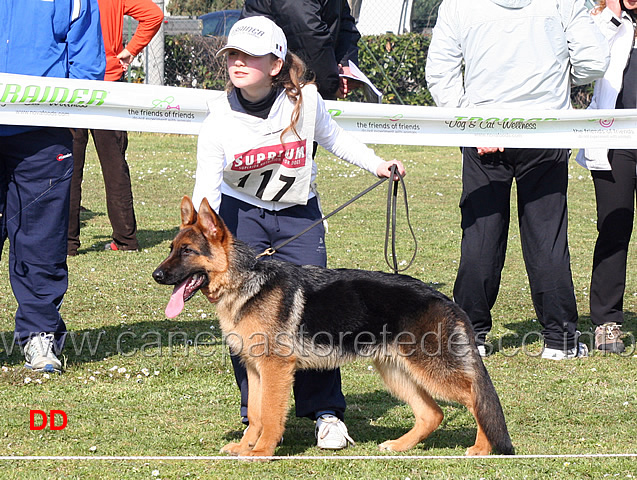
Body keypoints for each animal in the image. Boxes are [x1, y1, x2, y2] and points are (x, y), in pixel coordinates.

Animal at [153, 198, 512, 458]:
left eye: (187, 251)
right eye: (171, 249)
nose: (156, 275)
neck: (245, 282)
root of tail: (443, 298)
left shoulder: (275, 369)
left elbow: (269, 414)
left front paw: (262, 451)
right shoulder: (255, 370)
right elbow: (254, 413)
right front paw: (246, 446)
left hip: (431, 369)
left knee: (476, 398)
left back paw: (482, 448)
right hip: (397, 371)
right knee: (432, 414)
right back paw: (399, 445)